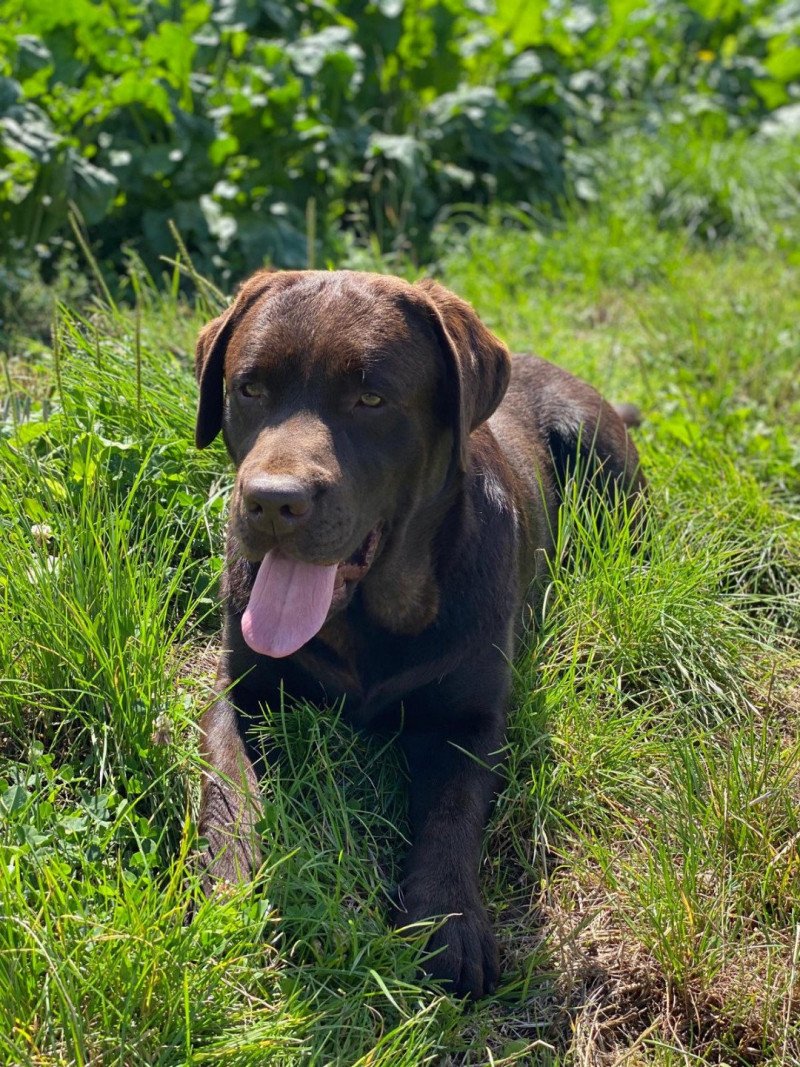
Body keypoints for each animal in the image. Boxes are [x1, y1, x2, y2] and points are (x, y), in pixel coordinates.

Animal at [194, 268, 644, 998]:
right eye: (250, 388)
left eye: (371, 398)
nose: (270, 501)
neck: (366, 621)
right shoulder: (240, 690)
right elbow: (231, 790)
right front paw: (229, 883)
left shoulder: (471, 716)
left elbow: (451, 813)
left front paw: (449, 924)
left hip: (599, 455)